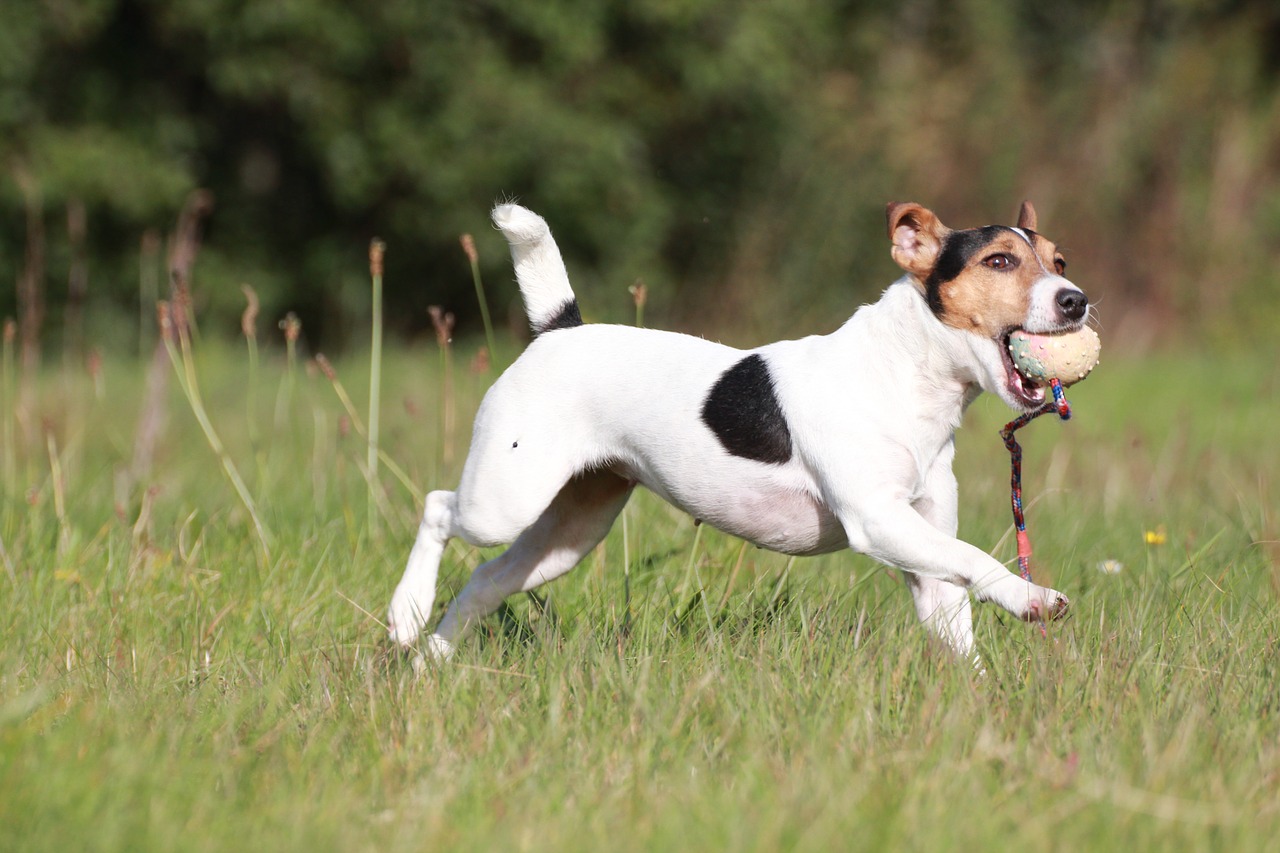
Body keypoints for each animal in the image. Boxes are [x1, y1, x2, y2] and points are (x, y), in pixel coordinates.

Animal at [384, 201, 1085, 666]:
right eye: (999, 261)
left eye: (1059, 260)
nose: (1076, 300)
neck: (903, 373)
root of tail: (561, 331)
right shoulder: (879, 520)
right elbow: (977, 558)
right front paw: (1034, 599)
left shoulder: (925, 543)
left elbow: (957, 608)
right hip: (504, 498)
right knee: (439, 508)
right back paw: (405, 613)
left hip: (571, 529)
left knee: (487, 578)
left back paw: (429, 658)